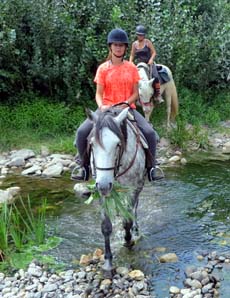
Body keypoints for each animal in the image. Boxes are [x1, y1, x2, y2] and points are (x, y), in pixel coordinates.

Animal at [88, 106, 146, 274]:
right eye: (92, 144)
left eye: (118, 144)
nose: (104, 185)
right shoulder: (102, 192)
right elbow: (106, 226)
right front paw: (108, 263)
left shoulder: (132, 189)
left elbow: (127, 221)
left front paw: (128, 240)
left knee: (134, 210)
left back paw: (135, 230)